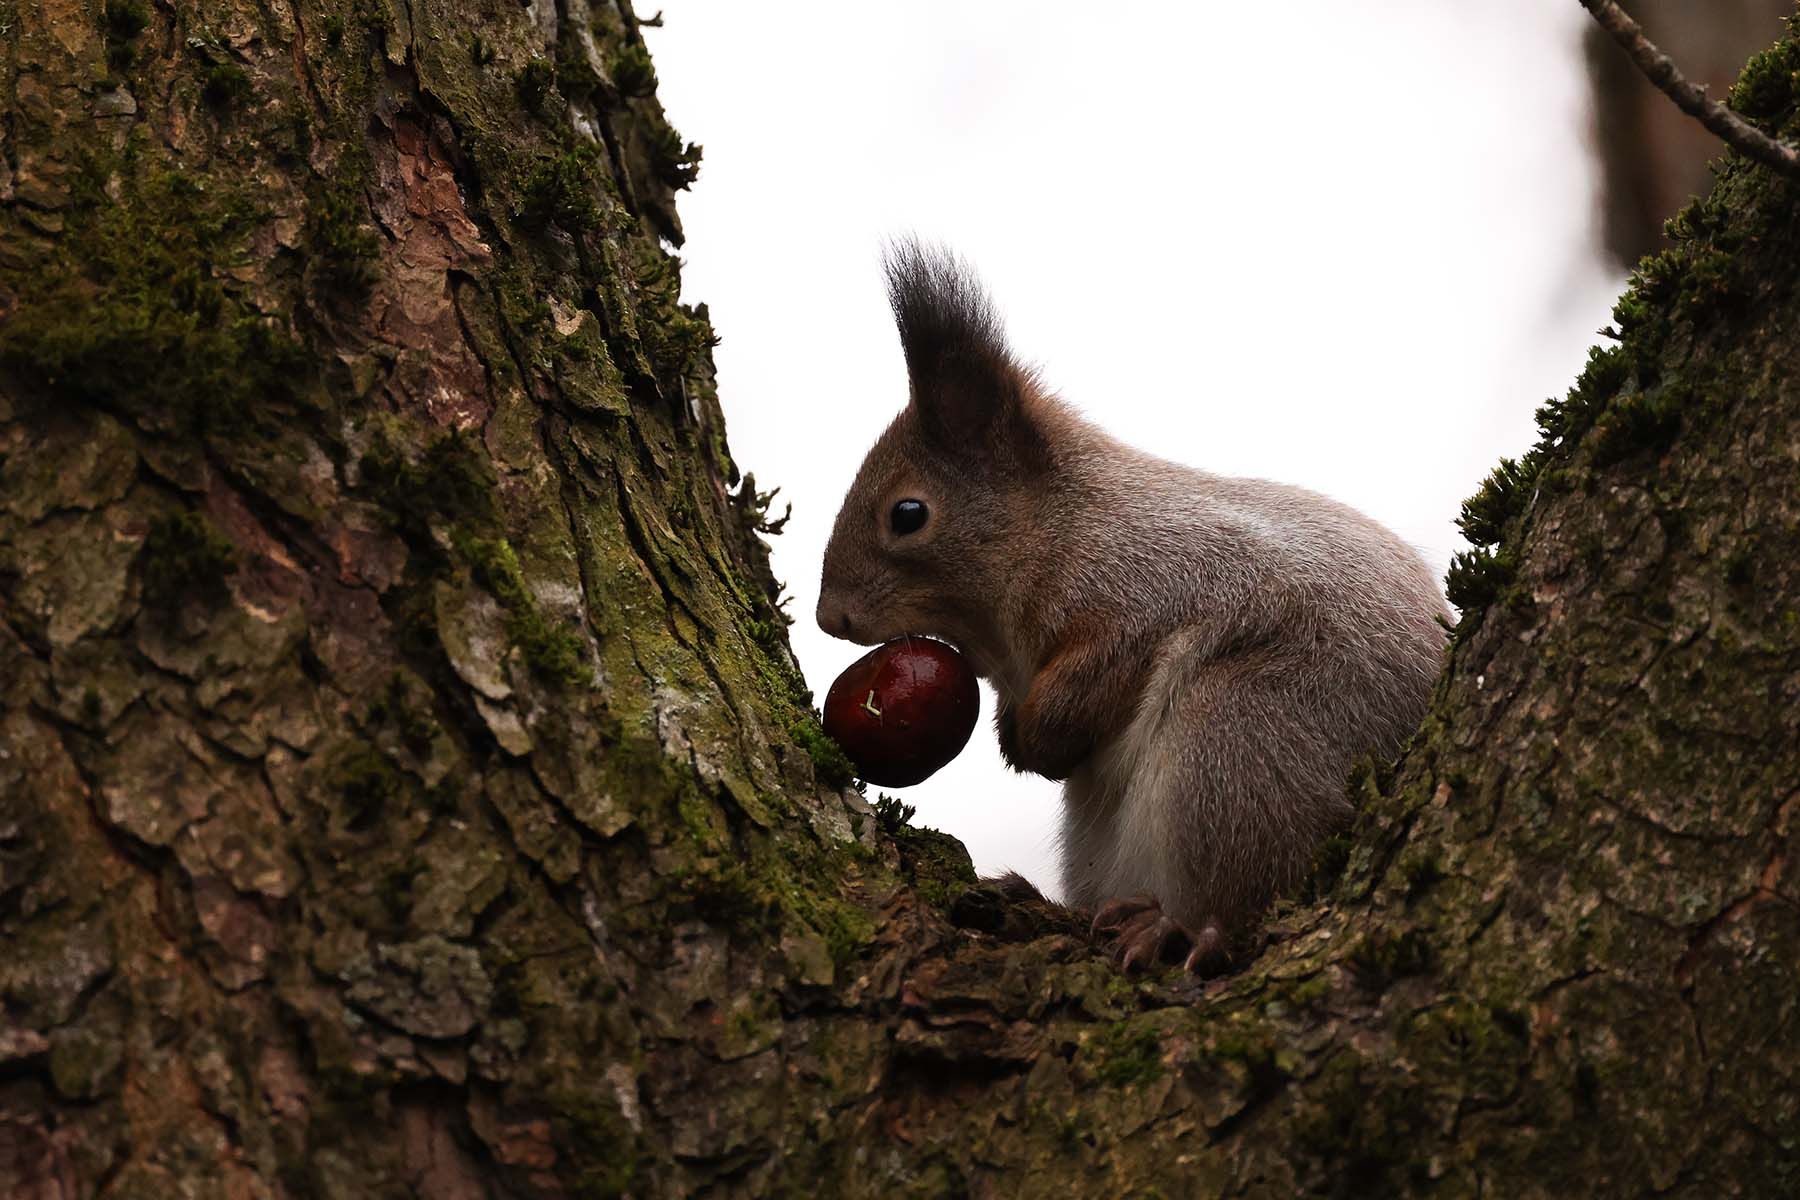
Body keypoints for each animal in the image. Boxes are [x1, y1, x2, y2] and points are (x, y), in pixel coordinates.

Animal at [817, 242, 1451, 972]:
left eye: (908, 514)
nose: (829, 617)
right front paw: (1012, 737)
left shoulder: (1152, 589)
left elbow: (1099, 673)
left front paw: (1034, 739)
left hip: (1244, 738)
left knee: (1244, 890)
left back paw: (1176, 929)